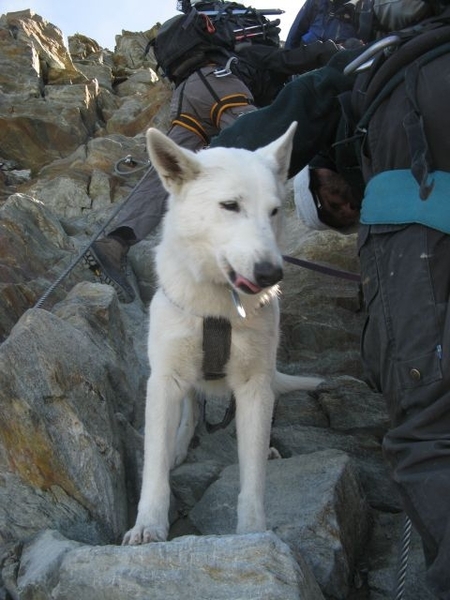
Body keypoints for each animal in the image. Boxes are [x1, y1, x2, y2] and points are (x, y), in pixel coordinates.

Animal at [121, 123, 322, 544]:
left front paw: (252, 532)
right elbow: (155, 466)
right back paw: (181, 442)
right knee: (192, 408)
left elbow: (253, 475)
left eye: (274, 211)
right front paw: (148, 524)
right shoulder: (164, 380)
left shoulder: (253, 386)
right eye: (230, 206)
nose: (271, 274)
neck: (218, 309)